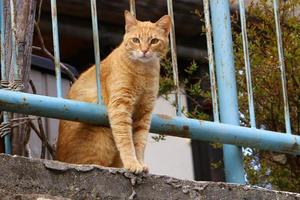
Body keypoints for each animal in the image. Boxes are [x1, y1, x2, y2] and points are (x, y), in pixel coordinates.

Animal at [56, 11, 171, 173]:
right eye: (136, 40)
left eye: (154, 41)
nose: (144, 51)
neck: (144, 72)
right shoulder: (120, 106)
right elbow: (126, 140)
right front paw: (132, 163)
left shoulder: (144, 112)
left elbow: (140, 142)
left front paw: (140, 163)